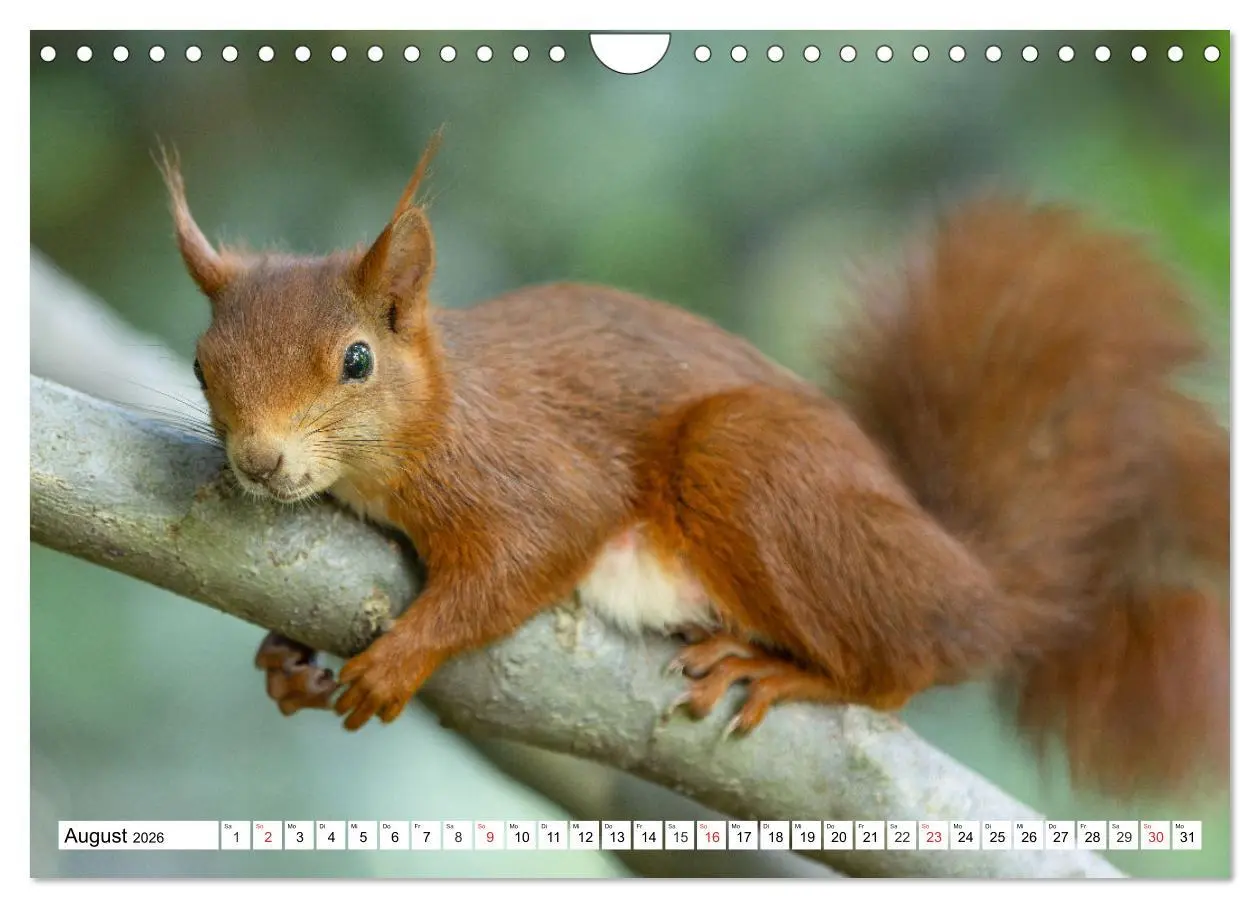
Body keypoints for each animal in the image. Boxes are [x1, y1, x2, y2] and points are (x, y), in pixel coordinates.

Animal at [158, 134, 1229, 800]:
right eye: (203, 365)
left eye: (356, 361)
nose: (259, 460)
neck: (440, 407)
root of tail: (977, 588)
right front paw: (285, 661)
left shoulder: (526, 470)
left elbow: (527, 557)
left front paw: (403, 656)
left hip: (752, 464)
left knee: (902, 669)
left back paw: (788, 672)